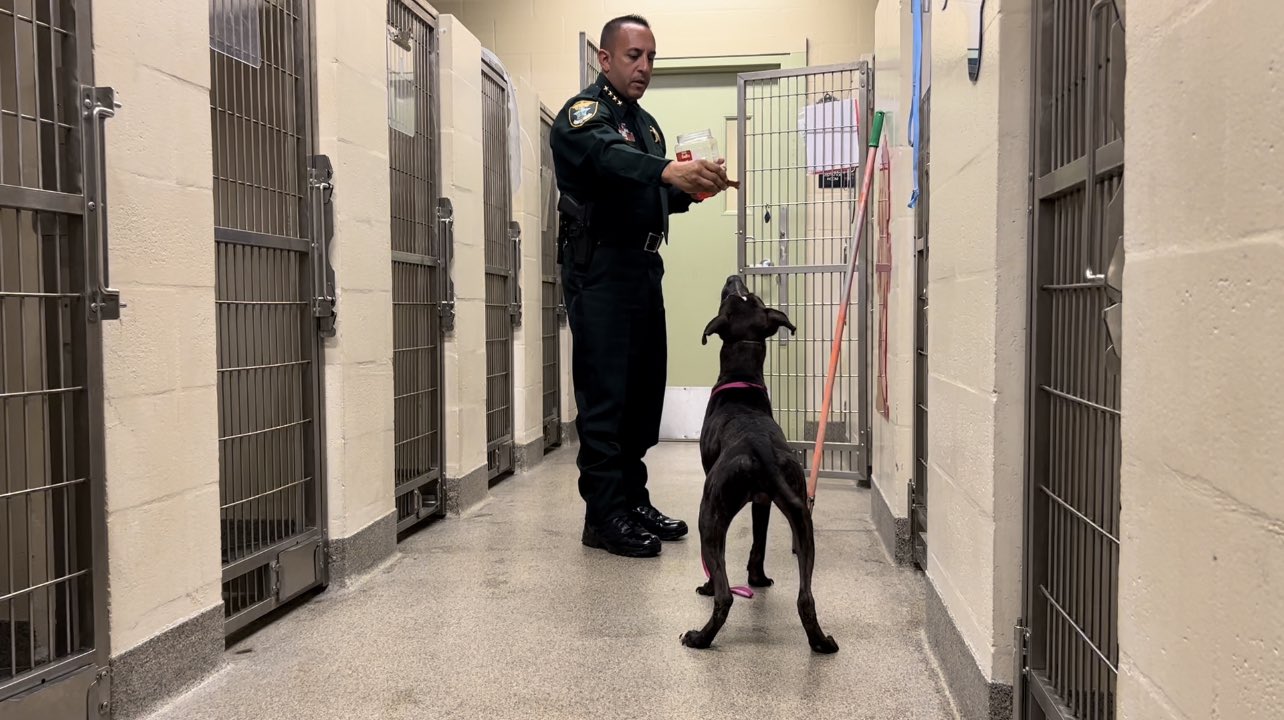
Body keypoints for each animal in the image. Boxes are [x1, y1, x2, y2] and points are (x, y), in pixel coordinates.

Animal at [683, 273, 842, 651]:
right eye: (751, 298)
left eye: (734, 296)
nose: (734, 277)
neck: (742, 379)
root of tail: (762, 453)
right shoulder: (763, 501)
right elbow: (758, 542)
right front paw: (757, 578)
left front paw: (708, 587)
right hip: (802, 520)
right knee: (806, 598)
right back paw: (820, 642)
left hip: (709, 515)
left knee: (724, 594)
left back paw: (701, 636)